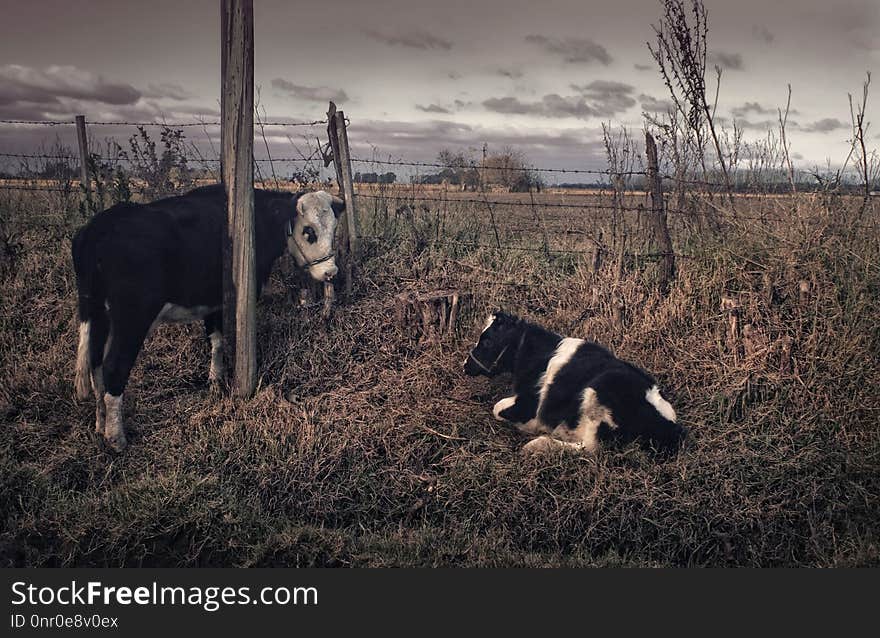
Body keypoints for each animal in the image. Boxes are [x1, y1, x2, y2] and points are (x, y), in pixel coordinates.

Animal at [71, 185, 344, 452]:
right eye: (309, 231)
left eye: (333, 229)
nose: (330, 272)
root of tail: (99, 225)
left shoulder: (213, 302)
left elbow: (216, 341)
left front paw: (215, 382)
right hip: (132, 319)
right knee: (113, 367)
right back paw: (116, 438)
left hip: (97, 314)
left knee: (95, 363)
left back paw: (100, 423)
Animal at [464, 314, 684, 456]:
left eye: (487, 342)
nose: (465, 365)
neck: (538, 354)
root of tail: (672, 426)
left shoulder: (529, 405)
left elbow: (498, 409)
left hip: (597, 394)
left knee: (590, 449)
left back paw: (539, 444)